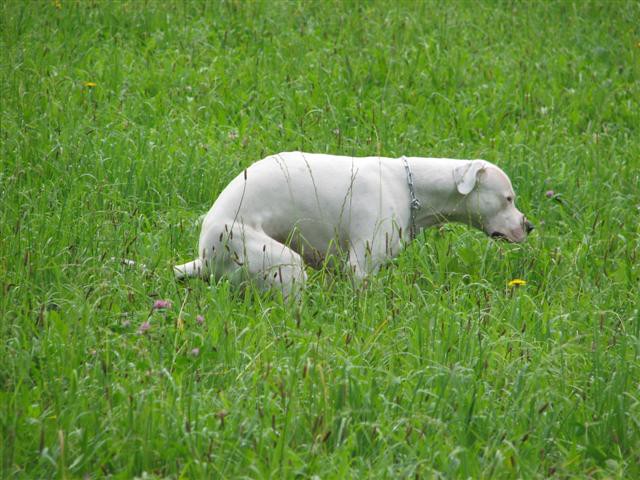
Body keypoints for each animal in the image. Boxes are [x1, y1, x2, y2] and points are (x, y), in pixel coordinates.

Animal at [172, 153, 532, 296]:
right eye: (508, 199)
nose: (529, 227)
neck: (408, 186)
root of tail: (204, 258)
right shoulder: (361, 267)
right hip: (283, 264)